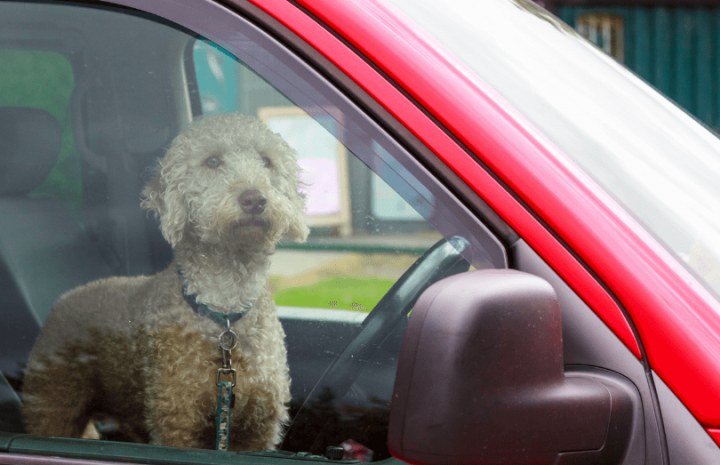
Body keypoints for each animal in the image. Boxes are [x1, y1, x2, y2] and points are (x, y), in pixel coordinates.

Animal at [21, 112, 310, 450]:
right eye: (212, 160)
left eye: (267, 161)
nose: (255, 199)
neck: (224, 309)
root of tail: (63, 298)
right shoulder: (177, 420)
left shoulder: (258, 429)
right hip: (53, 404)